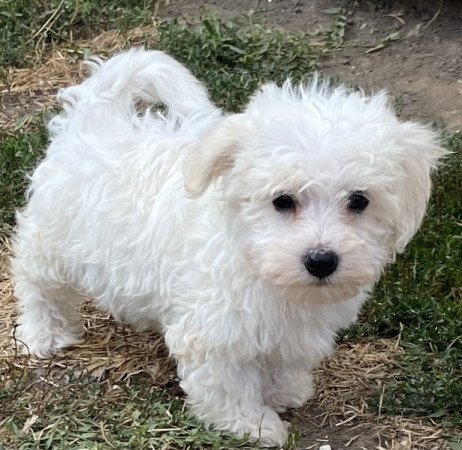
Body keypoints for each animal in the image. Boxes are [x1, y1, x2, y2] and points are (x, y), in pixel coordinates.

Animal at [12, 47, 442, 444]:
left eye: (359, 201)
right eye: (282, 200)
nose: (321, 260)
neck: (258, 261)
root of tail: (93, 116)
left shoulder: (293, 326)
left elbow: (283, 360)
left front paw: (285, 389)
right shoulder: (214, 330)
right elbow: (227, 383)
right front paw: (253, 424)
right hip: (52, 239)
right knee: (38, 283)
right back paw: (45, 333)